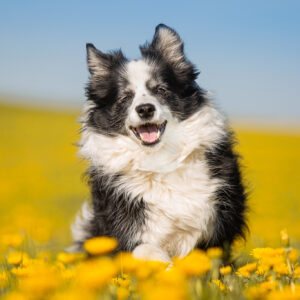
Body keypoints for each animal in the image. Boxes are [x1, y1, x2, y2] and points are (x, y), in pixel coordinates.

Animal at [71, 24, 247, 262]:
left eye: (160, 90)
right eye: (125, 97)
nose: (145, 109)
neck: (159, 158)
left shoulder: (216, 223)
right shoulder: (127, 226)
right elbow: (148, 250)